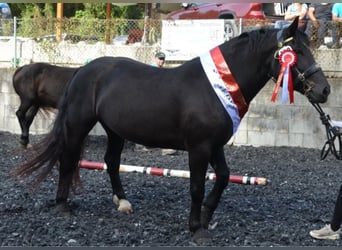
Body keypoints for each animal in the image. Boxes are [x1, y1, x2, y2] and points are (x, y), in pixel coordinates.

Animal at [12, 18, 330, 242]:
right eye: (296, 51)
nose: (324, 90)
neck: (215, 88)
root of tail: (82, 70)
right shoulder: (199, 147)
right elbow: (197, 186)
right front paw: (196, 229)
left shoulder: (214, 145)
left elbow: (224, 177)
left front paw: (207, 215)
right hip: (78, 124)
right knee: (67, 160)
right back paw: (62, 206)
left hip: (115, 130)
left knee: (112, 162)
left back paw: (122, 202)